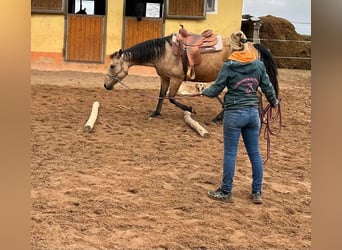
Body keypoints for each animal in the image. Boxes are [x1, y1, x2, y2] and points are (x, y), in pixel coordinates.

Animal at [103, 26, 278, 121]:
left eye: (112, 66)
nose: (105, 85)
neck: (164, 52)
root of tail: (254, 45)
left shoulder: (177, 79)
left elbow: (171, 98)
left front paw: (190, 108)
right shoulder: (165, 78)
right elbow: (161, 95)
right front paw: (156, 113)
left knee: (253, 95)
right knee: (257, 95)